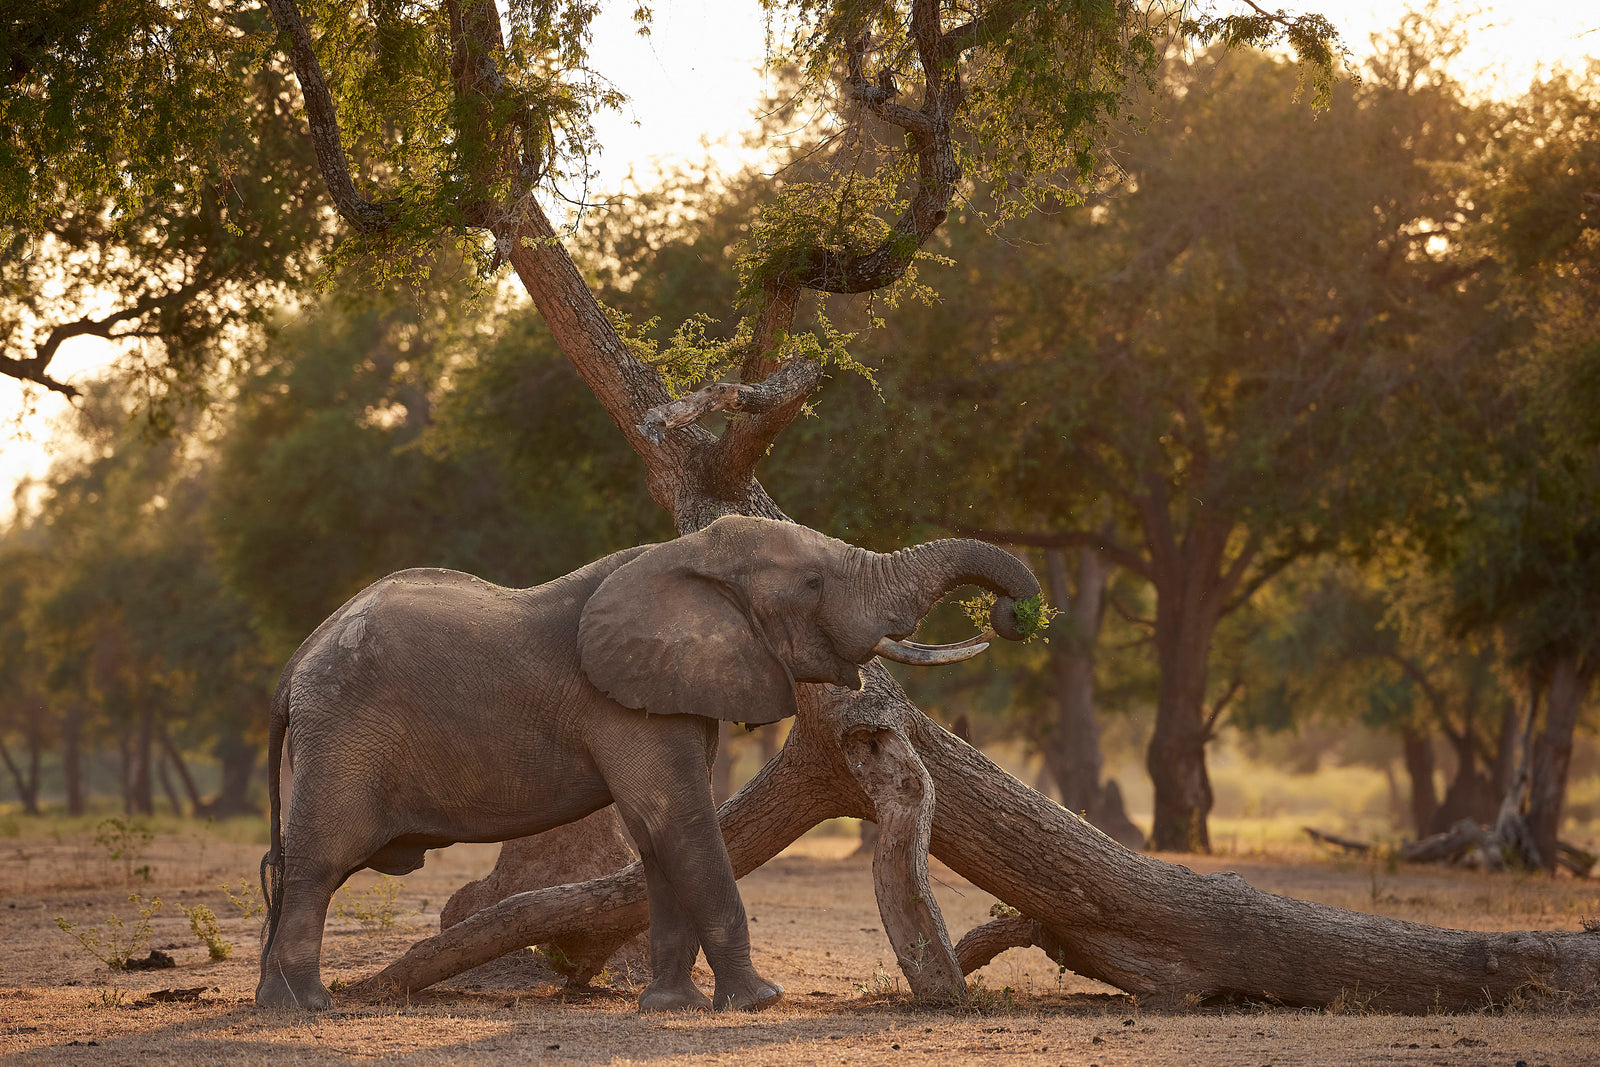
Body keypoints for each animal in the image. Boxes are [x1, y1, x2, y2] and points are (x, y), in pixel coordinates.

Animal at [255, 514, 1040, 1013]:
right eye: (814, 585)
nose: (1014, 617)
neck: (685, 554)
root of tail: (295, 664)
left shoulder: (673, 690)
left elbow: (658, 835)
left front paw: (670, 1004)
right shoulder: (622, 704)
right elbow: (682, 822)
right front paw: (759, 1003)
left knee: (301, 863)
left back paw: (275, 1003)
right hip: (346, 735)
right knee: (321, 859)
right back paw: (309, 1008)